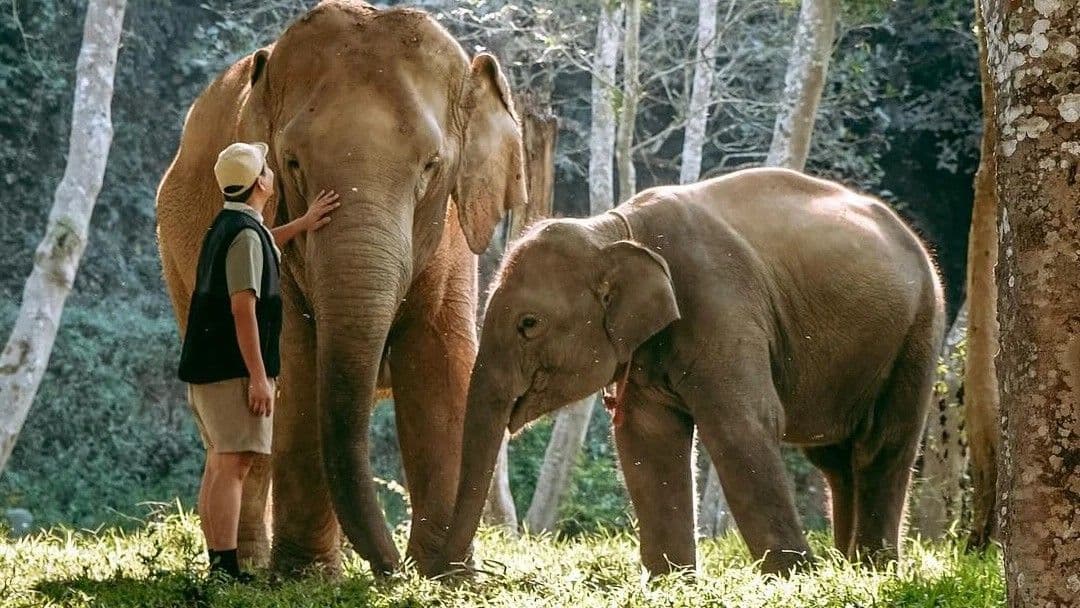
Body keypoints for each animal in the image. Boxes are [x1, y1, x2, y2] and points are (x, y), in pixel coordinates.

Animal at [156, 1, 526, 575]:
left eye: (431, 165)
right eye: (291, 162)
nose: (392, 570)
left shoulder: (449, 241)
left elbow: (438, 364)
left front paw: (447, 577)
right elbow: (295, 362)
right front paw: (309, 577)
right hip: (176, 263)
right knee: (241, 440)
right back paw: (249, 568)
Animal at [430, 167, 945, 577]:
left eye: (528, 324)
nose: (452, 576)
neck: (614, 228)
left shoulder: (721, 305)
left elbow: (742, 427)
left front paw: (795, 581)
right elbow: (648, 441)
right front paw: (671, 584)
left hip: (920, 324)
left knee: (882, 444)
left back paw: (873, 571)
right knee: (834, 459)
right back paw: (850, 569)